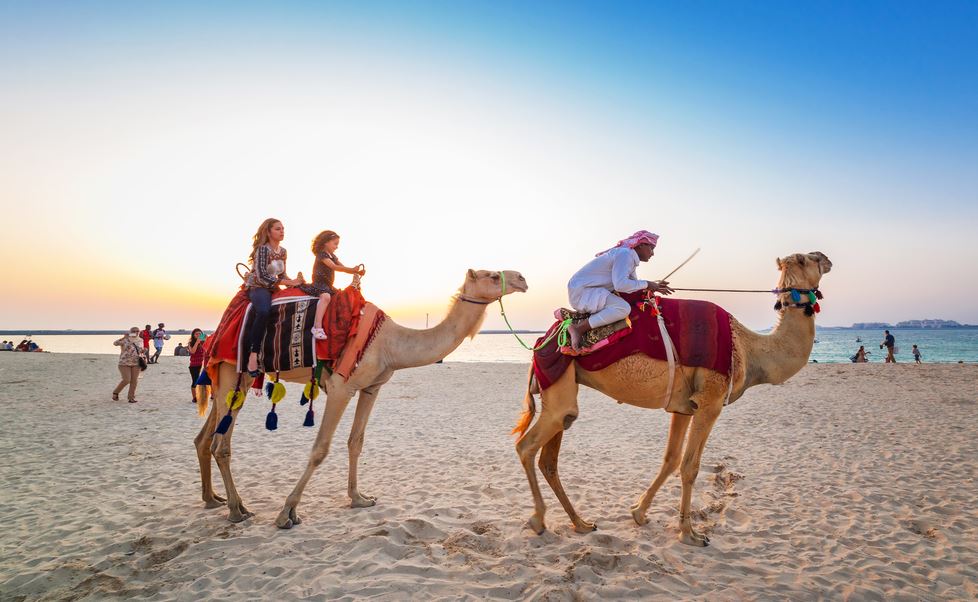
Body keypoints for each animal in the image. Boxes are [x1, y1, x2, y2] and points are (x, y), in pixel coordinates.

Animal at [193, 269, 528, 525]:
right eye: (491, 274)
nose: (522, 278)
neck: (391, 342)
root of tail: (217, 331)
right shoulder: (342, 386)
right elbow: (320, 449)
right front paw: (288, 512)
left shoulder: (371, 387)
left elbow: (356, 441)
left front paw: (359, 498)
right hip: (234, 373)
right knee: (221, 444)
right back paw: (237, 510)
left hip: (230, 378)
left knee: (204, 439)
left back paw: (215, 500)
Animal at [513, 251, 831, 546]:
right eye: (806, 259)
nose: (826, 259)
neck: (748, 349)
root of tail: (543, 339)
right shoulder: (711, 401)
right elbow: (690, 466)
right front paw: (690, 533)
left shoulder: (684, 407)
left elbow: (671, 459)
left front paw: (639, 513)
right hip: (559, 385)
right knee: (526, 446)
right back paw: (538, 520)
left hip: (563, 388)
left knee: (550, 455)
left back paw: (580, 523)